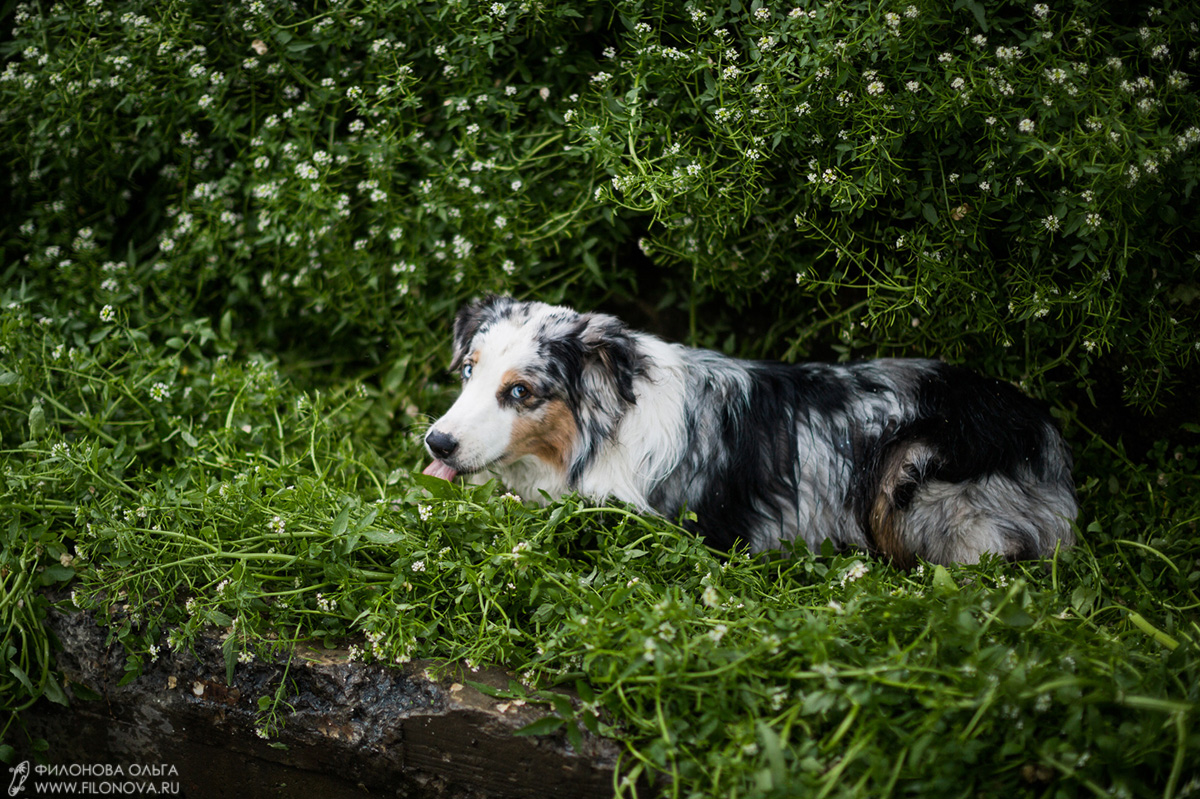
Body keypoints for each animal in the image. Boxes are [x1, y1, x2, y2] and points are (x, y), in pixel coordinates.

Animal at [422, 293, 1080, 566]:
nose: (437, 442)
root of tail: (1044, 428)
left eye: (521, 393)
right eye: (470, 370)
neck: (598, 433)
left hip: (911, 473)